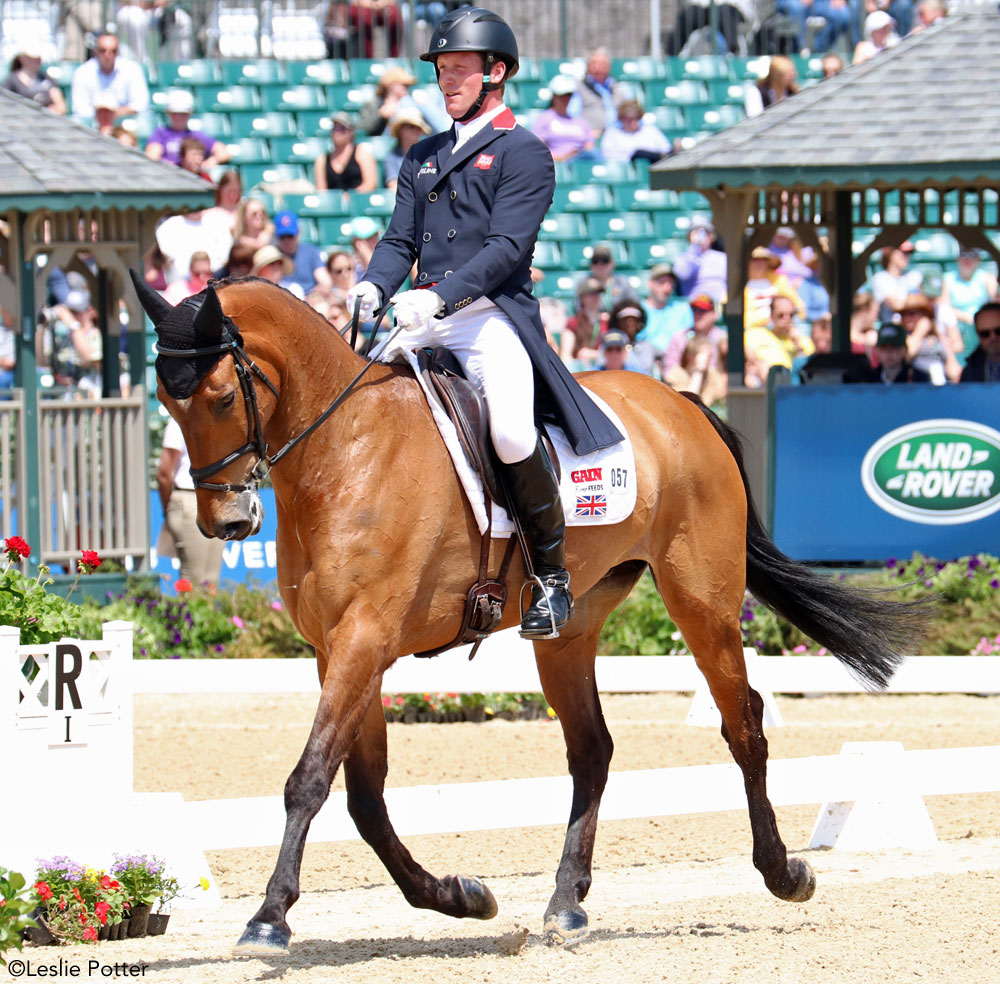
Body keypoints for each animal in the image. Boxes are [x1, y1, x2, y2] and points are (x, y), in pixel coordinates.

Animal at [133, 270, 920, 952]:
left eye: (220, 398)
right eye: (166, 406)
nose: (226, 523)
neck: (342, 451)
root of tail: (681, 401)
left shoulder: (365, 638)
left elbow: (310, 779)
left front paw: (268, 917)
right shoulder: (341, 650)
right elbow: (363, 796)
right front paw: (460, 895)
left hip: (703, 601)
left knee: (743, 724)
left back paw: (784, 873)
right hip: (570, 628)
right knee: (592, 749)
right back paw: (566, 902)